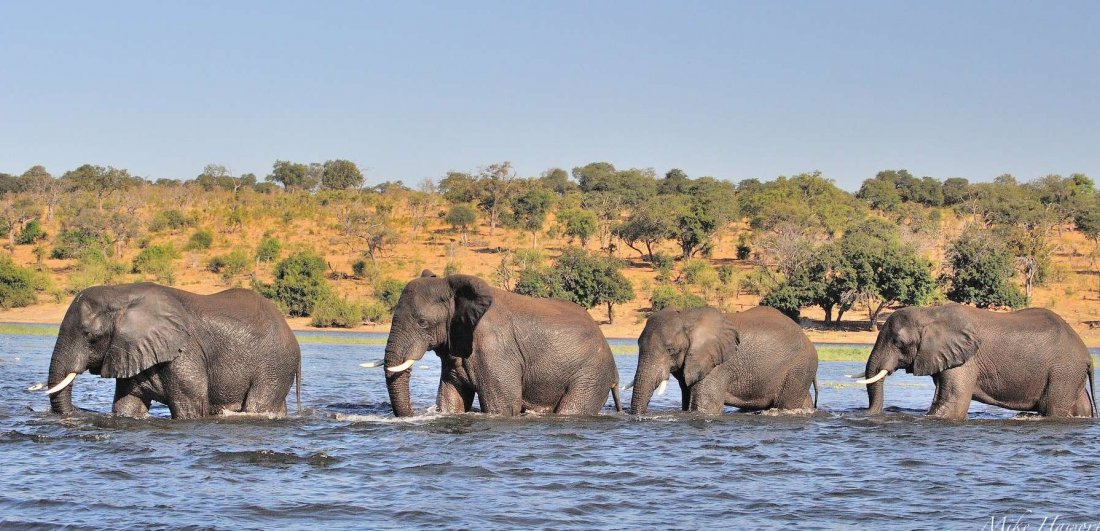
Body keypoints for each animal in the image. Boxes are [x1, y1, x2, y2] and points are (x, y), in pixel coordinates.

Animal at [45, 283, 301, 419]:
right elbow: (128, 404)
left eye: (90, 336)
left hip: (274, 366)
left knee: (259, 404)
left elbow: (190, 408)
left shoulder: (183, 353)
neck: (122, 292)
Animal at [853, 305, 1095, 422]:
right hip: (1070, 374)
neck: (929, 313)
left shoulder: (966, 360)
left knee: (1053, 408)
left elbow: (952, 405)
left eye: (899, 342)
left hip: (1063, 371)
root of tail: (1087, 355)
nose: (866, 414)